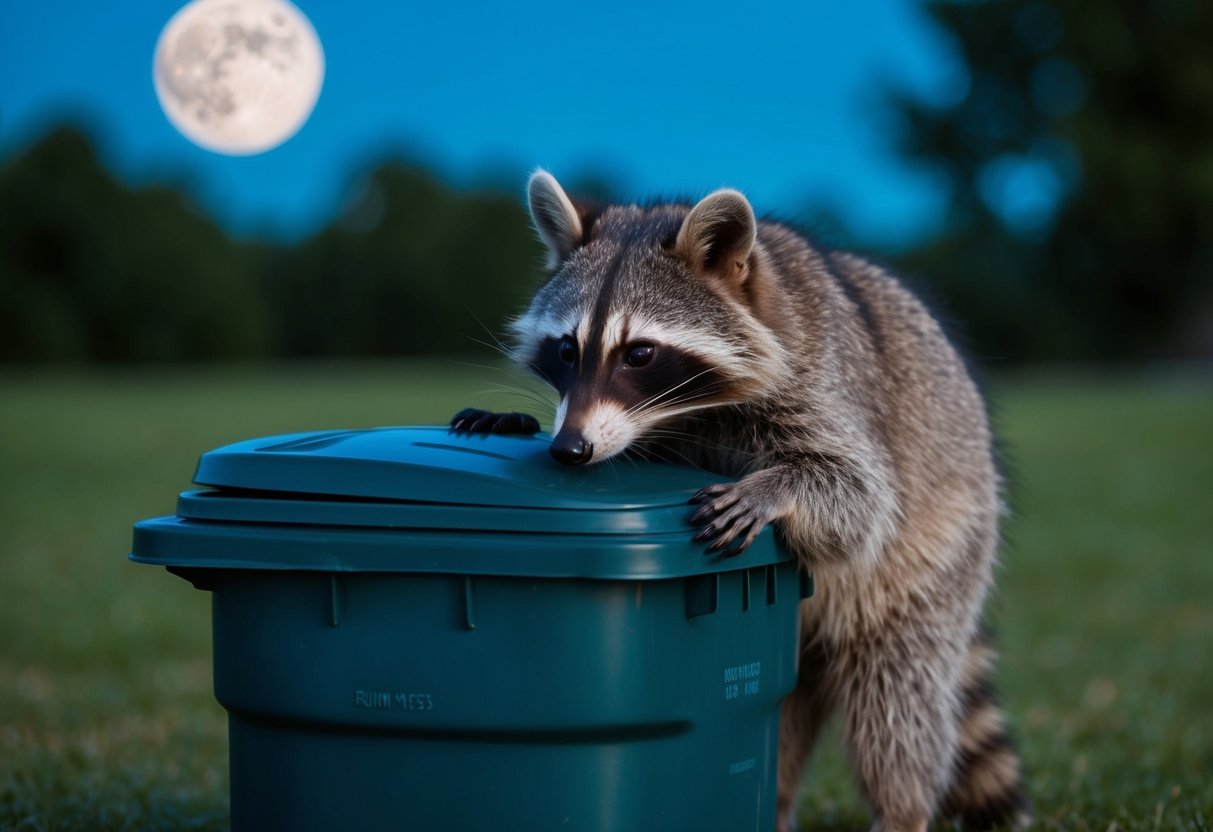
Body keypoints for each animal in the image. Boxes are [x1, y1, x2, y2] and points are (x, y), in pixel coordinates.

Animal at [451, 171, 1029, 832]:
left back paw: (900, 810)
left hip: (936, 557)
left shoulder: (826, 388)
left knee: (898, 700)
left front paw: (775, 488)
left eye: (639, 353)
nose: (569, 449)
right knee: (787, 721)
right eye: (567, 350)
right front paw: (515, 420)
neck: (690, 413)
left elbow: (861, 496)